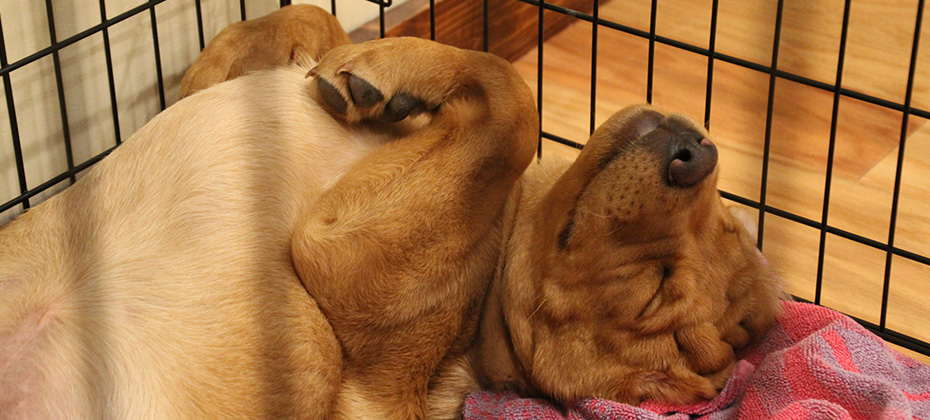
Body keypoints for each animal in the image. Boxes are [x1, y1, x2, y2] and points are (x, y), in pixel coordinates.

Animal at [0, 5, 784, 420]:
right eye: (725, 224)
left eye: (655, 291)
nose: (695, 155)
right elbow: (311, 24)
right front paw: (364, 61)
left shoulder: (340, 255)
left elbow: (515, 102)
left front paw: (391, 69)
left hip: (308, 340)